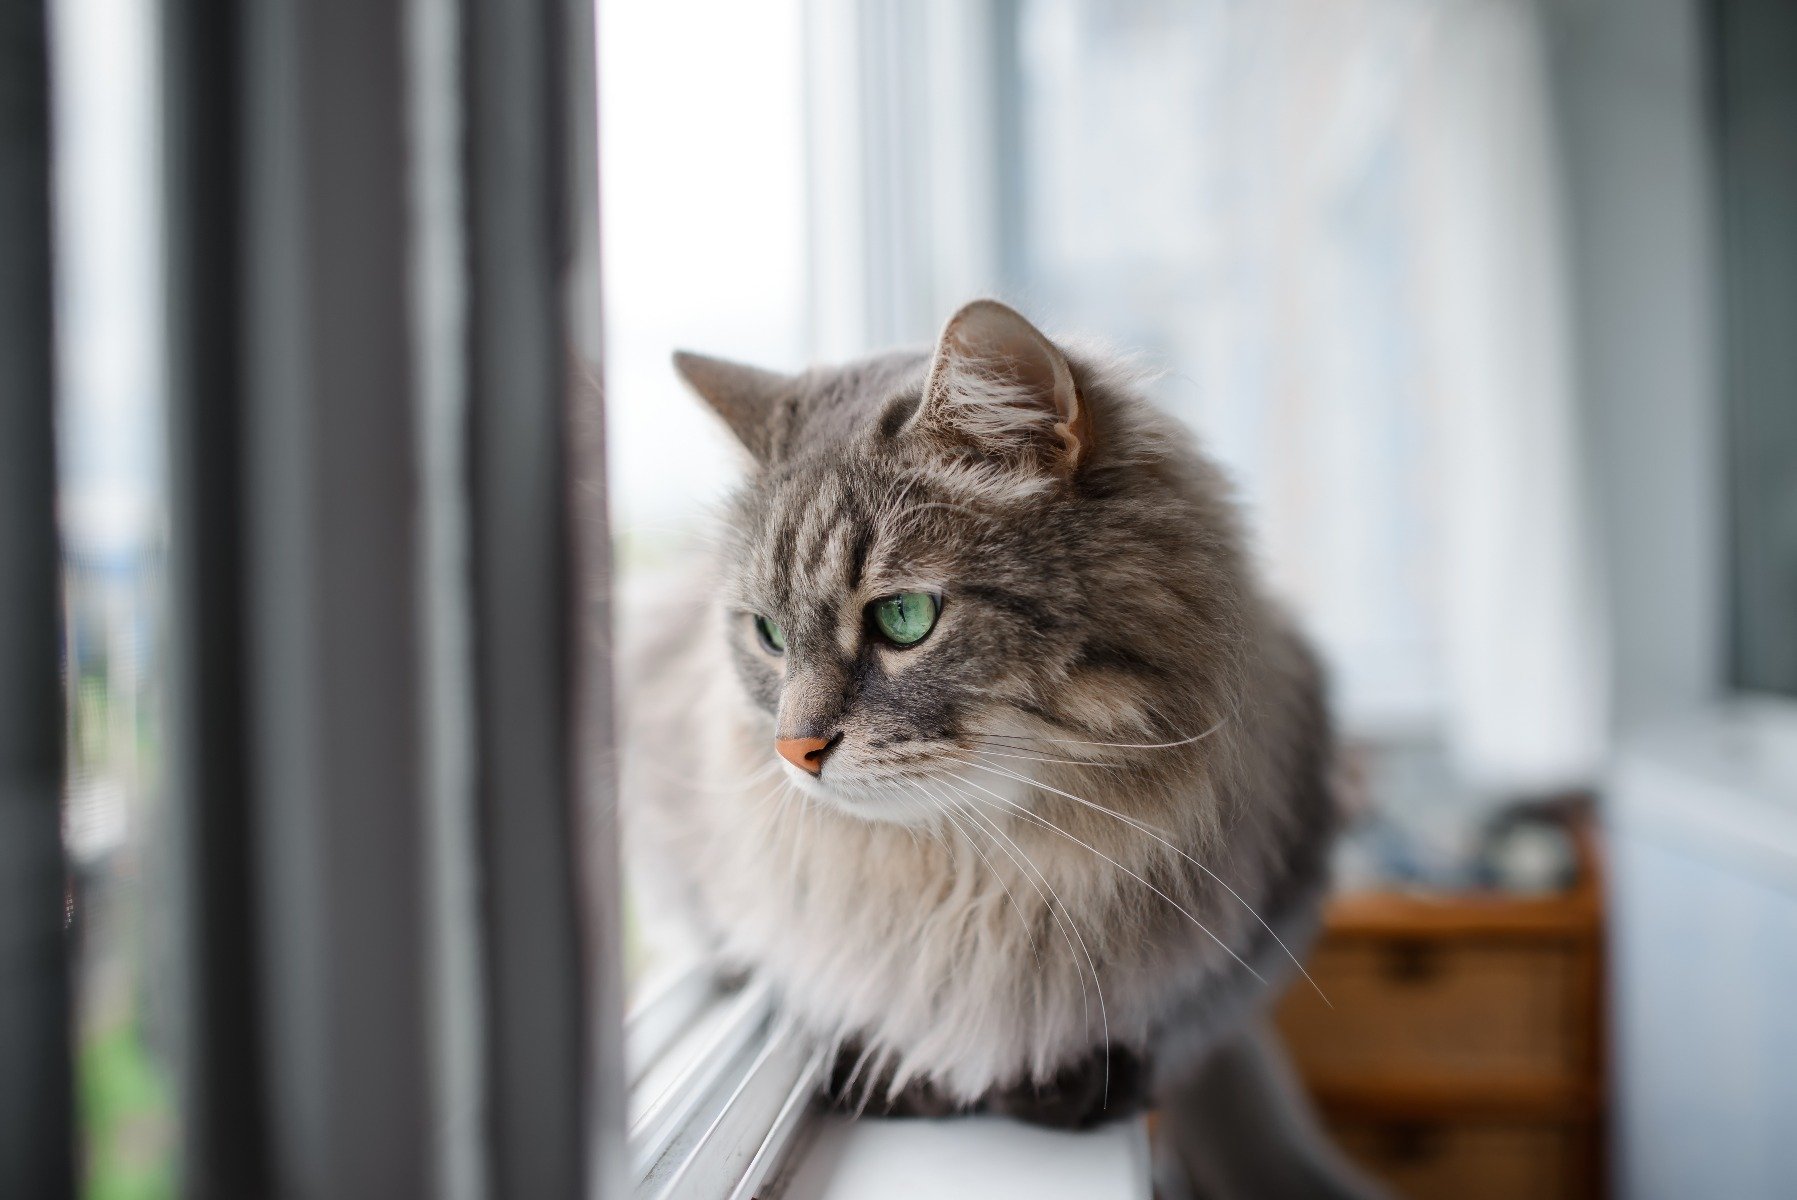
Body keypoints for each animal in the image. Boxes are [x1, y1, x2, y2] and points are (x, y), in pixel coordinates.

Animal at [625, 298, 1380, 1192]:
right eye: (769, 635)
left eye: (904, 618)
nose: (793, 751)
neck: (975, 875)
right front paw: (891, 1065)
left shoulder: (1263, 917)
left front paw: (1066, 1081)